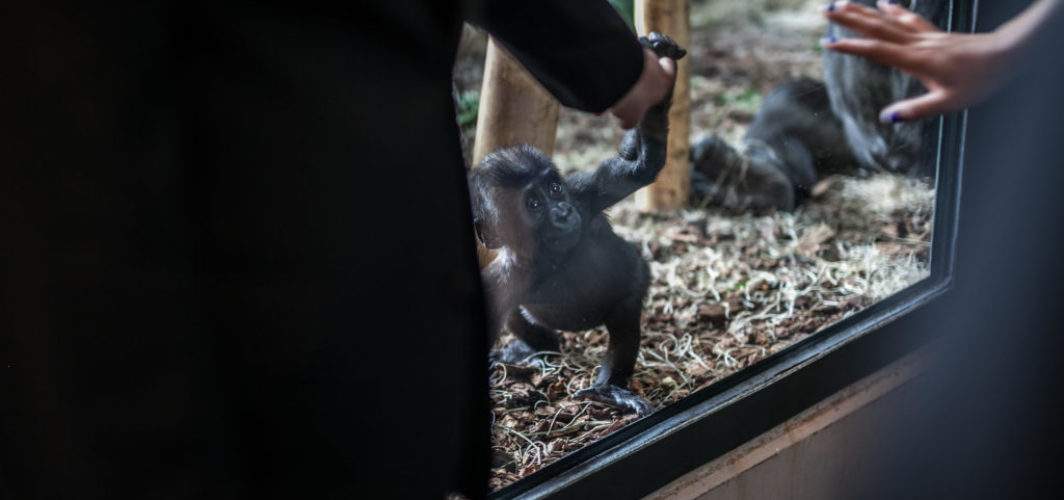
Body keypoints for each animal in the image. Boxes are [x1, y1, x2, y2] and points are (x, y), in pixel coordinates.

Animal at [470, 33, 685, 417]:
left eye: (555, 189)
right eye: (534, 204)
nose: (562, 211)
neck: (549, 255)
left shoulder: (584, 194)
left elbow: (640, 167)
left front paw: (658, 70)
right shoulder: (500, 279)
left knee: (625, 317)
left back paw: (608, 389)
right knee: (521, 318)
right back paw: (538, 349)